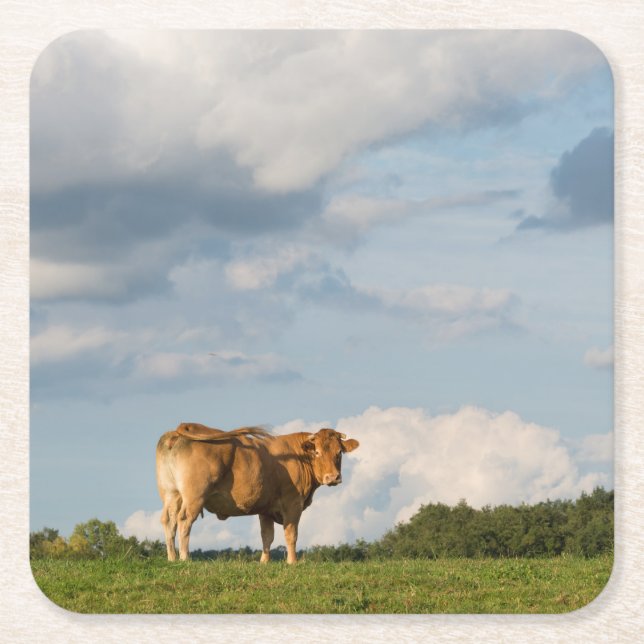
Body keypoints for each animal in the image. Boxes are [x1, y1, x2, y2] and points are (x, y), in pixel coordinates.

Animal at [156, 422, 359, 563]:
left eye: (339, 452)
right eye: (317, 452)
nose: (333, 477)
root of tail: (177, 432)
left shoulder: (266, 508)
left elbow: (267, 536)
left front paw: (264, 562)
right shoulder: (293, 503)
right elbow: (291, 534)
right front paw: (292, 562)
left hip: (171, 493)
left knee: (168, 520)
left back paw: (172, 558)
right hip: (194, 496)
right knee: (184, 520)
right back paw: (185, 557)